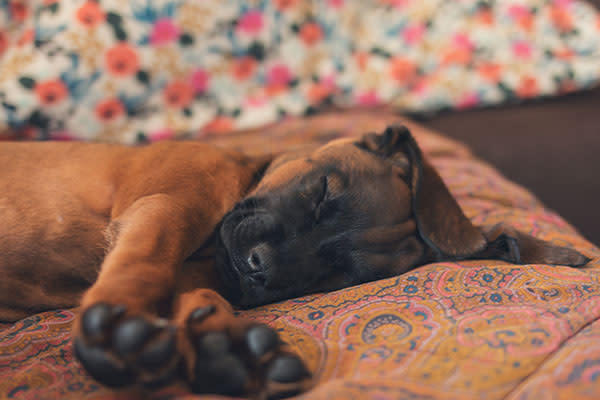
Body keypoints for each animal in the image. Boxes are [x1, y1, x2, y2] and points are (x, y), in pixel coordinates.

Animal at [0, 124, 592, 396]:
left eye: (338, 275)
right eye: (324, 191)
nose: (258, 265)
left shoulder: (201, 266)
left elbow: (195, 292)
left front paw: (222, 346)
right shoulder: (166, 208)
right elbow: (147, 262)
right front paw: (120, 327)